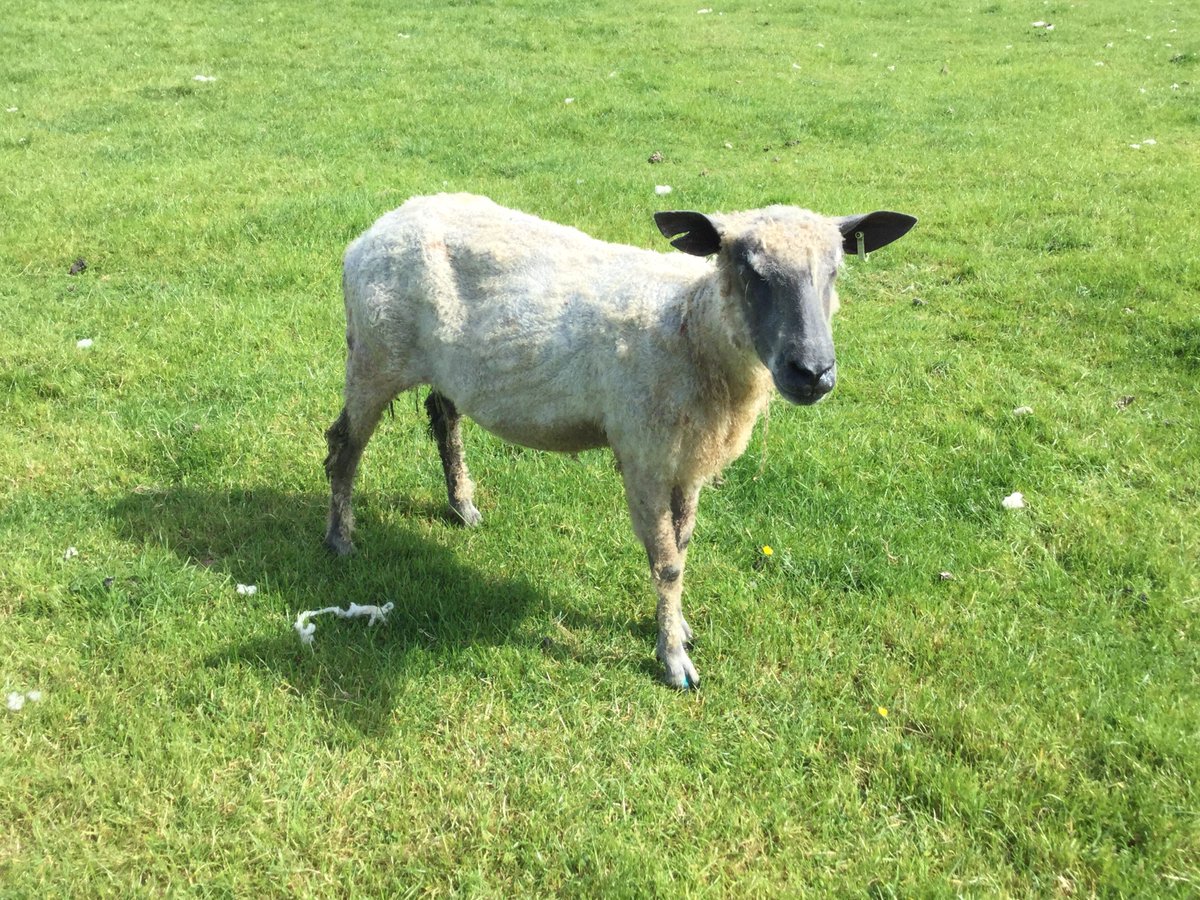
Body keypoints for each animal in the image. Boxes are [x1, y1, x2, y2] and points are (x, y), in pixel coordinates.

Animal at [324, 193, 916, 689]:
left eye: (835, 271)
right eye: (749, 270)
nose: (813, 372)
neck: (687, 326)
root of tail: (377, 228)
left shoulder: (687, 459)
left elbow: (683, 546)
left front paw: (677, 626)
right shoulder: (644, 455)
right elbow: (667, 561)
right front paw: (674, 659)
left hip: (442, 368)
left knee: (444, 419)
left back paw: (461, 504)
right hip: (374, 356)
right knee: (343, 448)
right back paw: (340, 539)